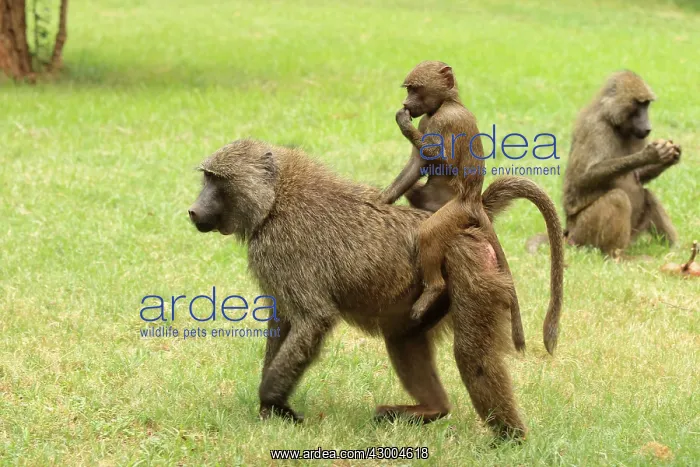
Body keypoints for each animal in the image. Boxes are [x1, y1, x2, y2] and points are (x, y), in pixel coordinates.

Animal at [188, 139, 554, 438]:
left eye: (217, 181)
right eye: (206, 178)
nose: (193, 211)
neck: (276, 199)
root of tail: (465, 218)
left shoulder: (279, 248)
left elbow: (313, 319)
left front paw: (274, 402)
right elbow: (283, 322)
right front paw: (269, 410)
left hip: (469, 268)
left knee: (471, 355)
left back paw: (511, 439)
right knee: (402, 339)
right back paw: (431, 410)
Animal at [377, 61, 564, 354]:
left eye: (415, 89)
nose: (405, 104)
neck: (447, 102)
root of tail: (475, 204)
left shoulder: (446, 121)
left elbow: (443, 160)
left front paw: (403, 123)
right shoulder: (427, 121)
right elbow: (416, 165)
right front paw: (382, 199)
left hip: (456, 212)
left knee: (429, 233)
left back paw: (432, 290)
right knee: (417, 195)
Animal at [563, 70, 681, 256]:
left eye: (647, 104)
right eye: (639, 104)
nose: (648, 127)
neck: (613, 121)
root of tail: (568, 234)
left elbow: (639, 176)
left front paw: (672, 156)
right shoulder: (596, 128)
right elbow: (583, 178)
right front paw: (650, 154)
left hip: (632, 234)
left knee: (648, 194)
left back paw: (677, 249)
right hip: (582, 234)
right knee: (618, 198)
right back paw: (616, 255)